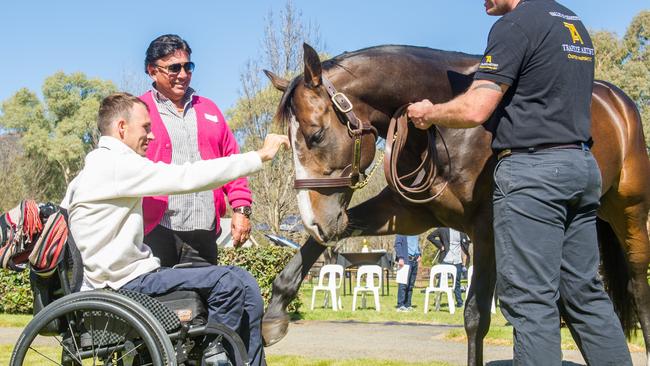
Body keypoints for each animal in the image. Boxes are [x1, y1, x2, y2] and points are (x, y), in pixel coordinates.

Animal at [260, 44, 648, 364]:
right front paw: (274, 313)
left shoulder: (486, 231)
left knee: (636, 286)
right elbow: (309, 250)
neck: (447, 129)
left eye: (315, 135)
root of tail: (617, 101)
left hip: (629, 213)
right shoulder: (405, 214)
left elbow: (476, 317)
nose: (312, 220)